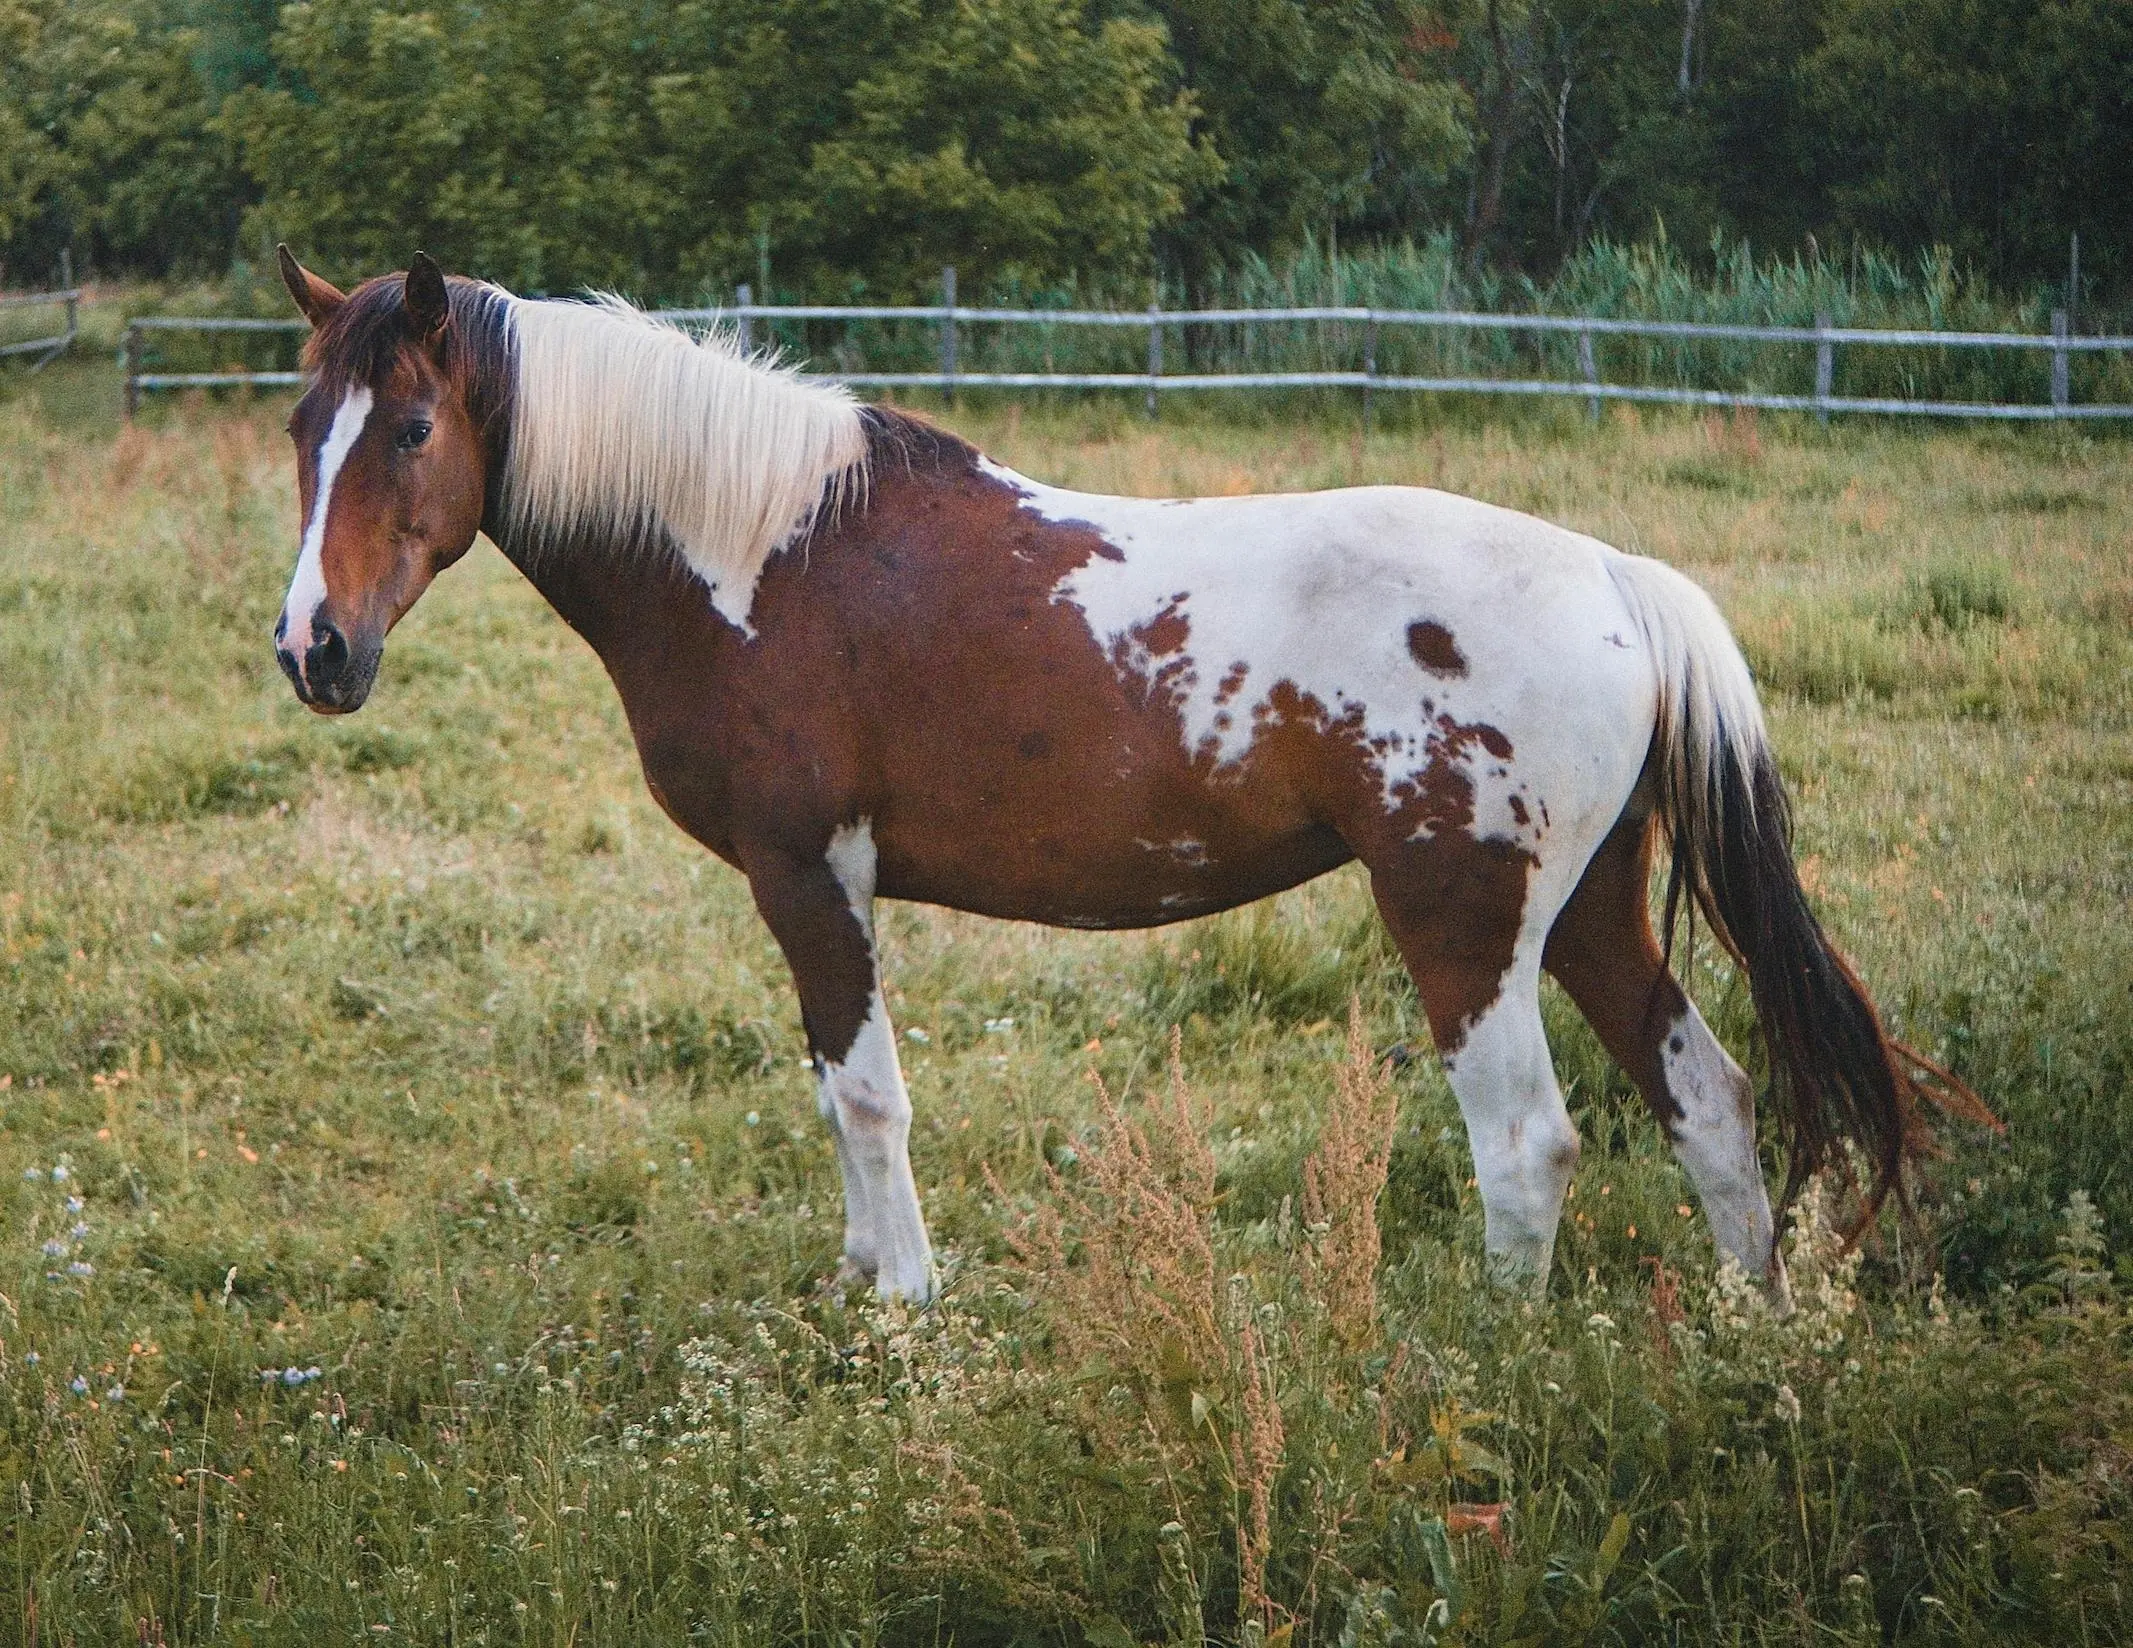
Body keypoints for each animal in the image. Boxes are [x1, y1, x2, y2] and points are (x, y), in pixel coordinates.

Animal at [275, 250, 1970, 1296]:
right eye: (300, 427)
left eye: (411, 427)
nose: (313, 650)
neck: (764, 554)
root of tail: (1616, 576)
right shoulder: (805, 888)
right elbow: (833, 1091)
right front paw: (857, 1280)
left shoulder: (813, 873)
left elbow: (866, 1096)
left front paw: (903, 1303)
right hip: (1594, 914)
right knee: (1711, 1108)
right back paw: (1750, 1342)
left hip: (1466, 924)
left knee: (1526, 1146)